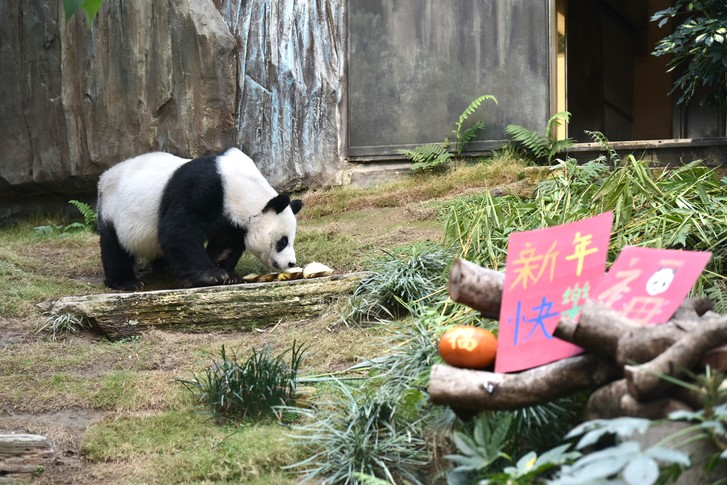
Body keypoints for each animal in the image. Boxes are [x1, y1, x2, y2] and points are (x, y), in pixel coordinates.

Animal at [96, 147, 302, 290]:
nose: (291, 263)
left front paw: (227, 274)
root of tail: (104, 176)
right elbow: (180, 230)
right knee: (114, 247)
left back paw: (163, 267)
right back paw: (126, 282)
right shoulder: (202, 188)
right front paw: (212, 276)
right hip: (112, 210)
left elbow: (225, 243)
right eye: (282, 241)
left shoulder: (229, 216)